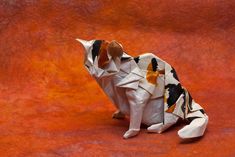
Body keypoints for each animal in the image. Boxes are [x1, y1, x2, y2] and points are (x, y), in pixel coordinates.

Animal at [76, 38, 208, 139]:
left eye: (103, 65)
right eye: (87, 65)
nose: (94, 73)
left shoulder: (138, 96)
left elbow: (136, 114)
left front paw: (130, 133)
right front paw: (119, 114)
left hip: (171, 100)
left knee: (170, 118)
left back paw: (155, 128)